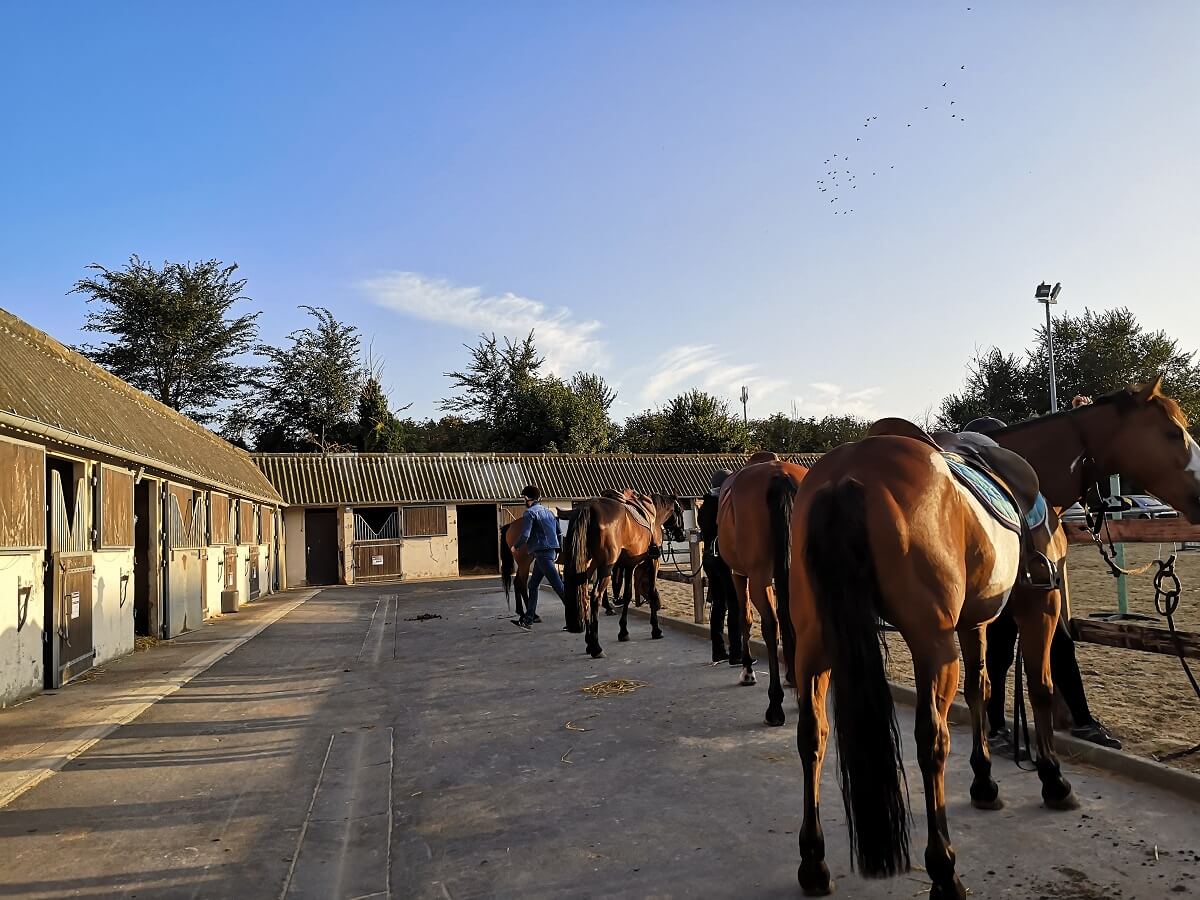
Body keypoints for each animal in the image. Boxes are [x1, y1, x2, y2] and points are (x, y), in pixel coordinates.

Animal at [561, 496, 686, 657]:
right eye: (680, 510)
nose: (682, 535)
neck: (654, 514)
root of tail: (589, 507)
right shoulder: (653, 561)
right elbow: (651, 592)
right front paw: (656, 630)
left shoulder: (629, 565)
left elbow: (627, 596)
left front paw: (623, 632)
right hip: (605, 569)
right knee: (595, 597)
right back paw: (596, 647)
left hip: (587, 567)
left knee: (585, 596)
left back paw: (589, 642)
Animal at [715, 453, 811, 729]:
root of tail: (780, 475)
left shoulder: (739, 575)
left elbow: (744, 619)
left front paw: (747, 670)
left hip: (757, 578)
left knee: (770, 625)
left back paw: (775, 705)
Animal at [787, 376, 1200, 897]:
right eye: (1172, 431)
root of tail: (846, 477)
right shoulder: (1038, 606)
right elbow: (1040, 688)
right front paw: (1052, 779)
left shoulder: (976, 622)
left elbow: (981, 689)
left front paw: (984, 782)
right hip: (932, 646)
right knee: (931, 741)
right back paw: (944, 869)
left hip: (816, 644)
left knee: (812, 736)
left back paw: (813, 861)